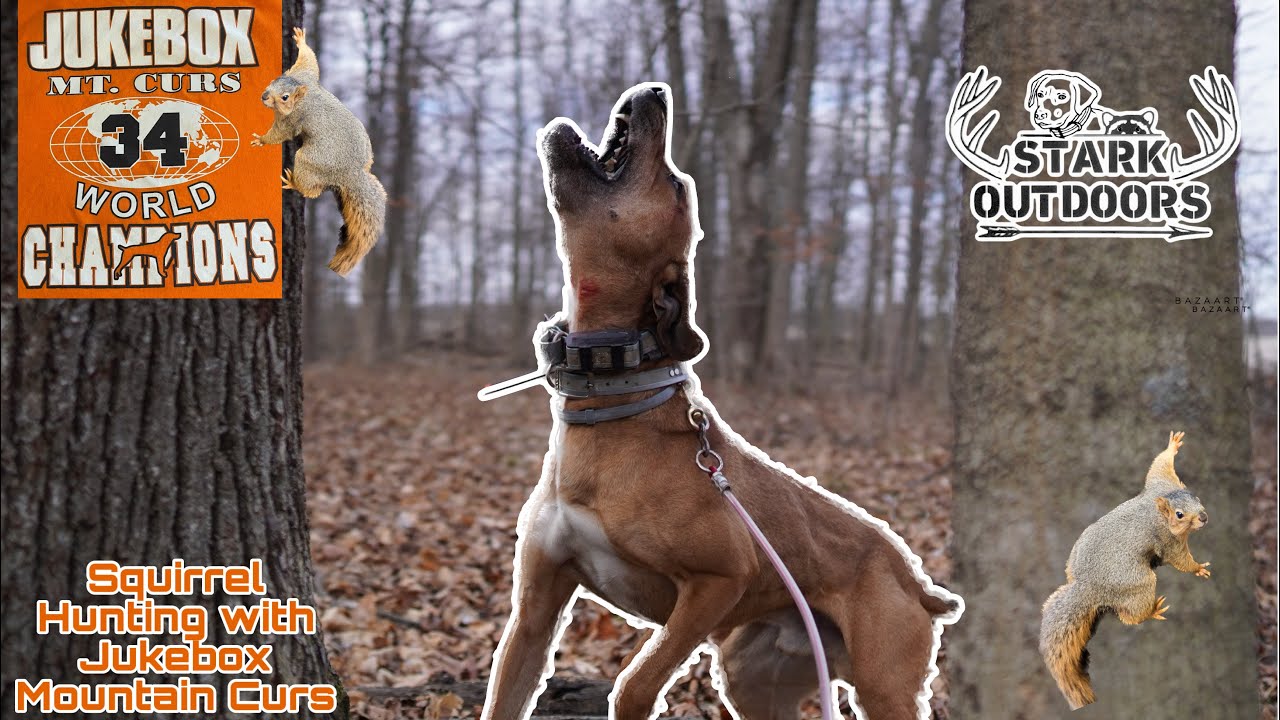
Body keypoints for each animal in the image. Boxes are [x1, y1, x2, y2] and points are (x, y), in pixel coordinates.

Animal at [252, 27, 386, 276]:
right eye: (274, 80)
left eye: (284, 97)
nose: (264, 96)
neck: (302, 94)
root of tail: (350, 173)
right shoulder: (304, 74)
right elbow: (309, 60)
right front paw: (300, 39)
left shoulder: (291, 120)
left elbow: (279, 134)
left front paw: (262, 140)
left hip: (309, 161)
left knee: (311, 190)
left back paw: (293, 183)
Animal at [1040, 431, 1210, 709]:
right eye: (1180, 514)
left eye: (1196, 497)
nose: (1204, 517)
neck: (1159, 509)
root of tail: (1089, 586)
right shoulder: (1168, 541)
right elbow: (1180, 560)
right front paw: (1197, 568)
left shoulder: (1161, 482)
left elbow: (1159, 465)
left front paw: (1172, 446)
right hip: (1139, 583)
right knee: (1131, 617)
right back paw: (1152, 611)